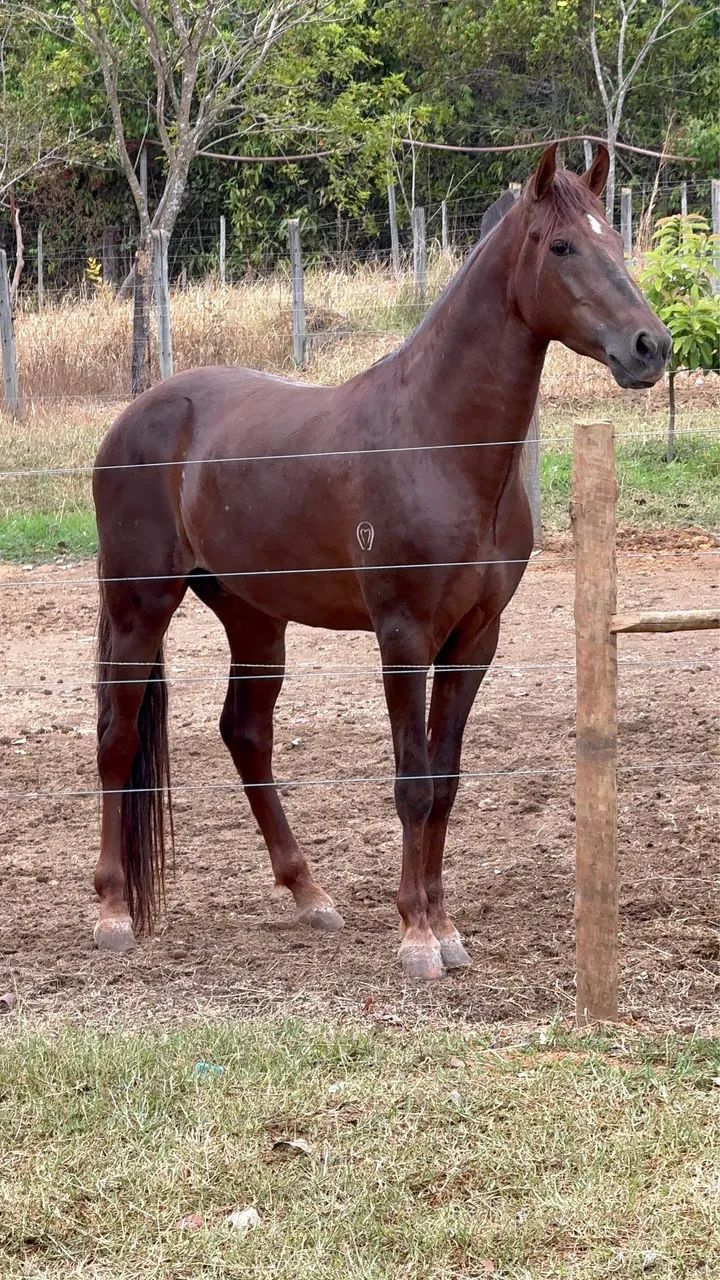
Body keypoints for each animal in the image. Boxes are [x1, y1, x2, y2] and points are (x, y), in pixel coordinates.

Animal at [92, 143, 670, 981]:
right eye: (562, 246)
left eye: (616, 242)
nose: (650, 348)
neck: (437, 441)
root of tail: (139, 414)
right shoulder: (403, 637)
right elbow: (412, 783)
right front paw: (417, 938)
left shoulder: (474, 641)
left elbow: (447, 781)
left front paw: (446, 928)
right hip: (140, 604)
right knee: (118, 737)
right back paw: (111, 912)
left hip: (253, 617)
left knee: (246, 734)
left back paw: (310, 895)